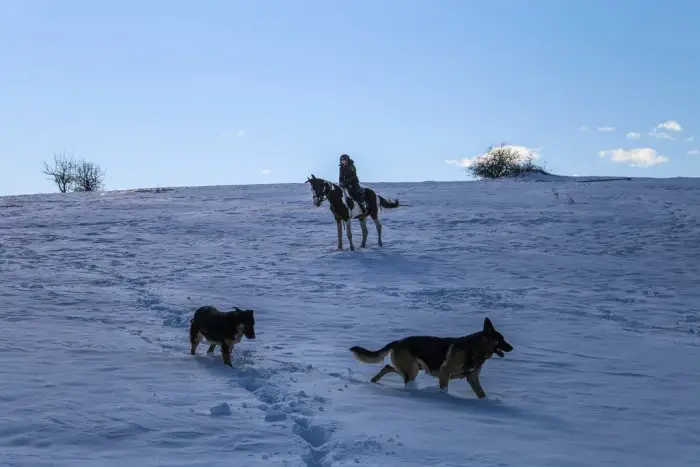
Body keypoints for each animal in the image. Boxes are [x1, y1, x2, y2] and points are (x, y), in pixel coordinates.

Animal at [350, 318, 516, 398]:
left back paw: (374, 381)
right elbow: (445, 390)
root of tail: (397, 342)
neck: (476, 348)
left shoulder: (473, 378)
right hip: (412, 369)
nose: (512, 348)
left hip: (412, 368)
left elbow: (482, 395)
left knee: (388, 367)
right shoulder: (445, 372)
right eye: (500, 339)